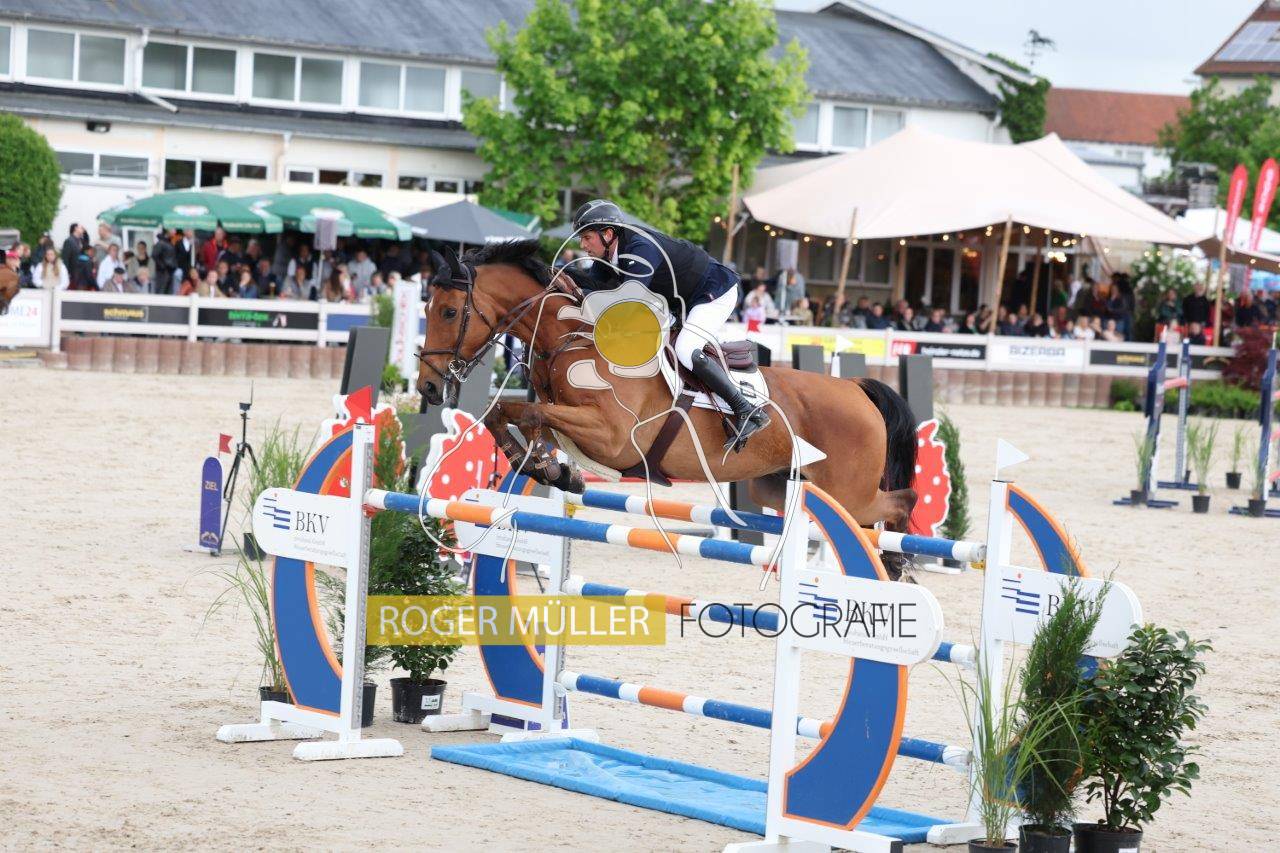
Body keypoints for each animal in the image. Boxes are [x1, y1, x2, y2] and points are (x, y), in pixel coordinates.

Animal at [416, 240, 920, 578]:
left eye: (448, 311)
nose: (428, 387)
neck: (571, 339)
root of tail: (855, 389)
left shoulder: (613, 438)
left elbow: (533, 416)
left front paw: (551, 468)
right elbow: (506, 415)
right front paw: (549, 468)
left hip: (848, 491)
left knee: (899, 502)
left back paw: (895, 559)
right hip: (778, 486)